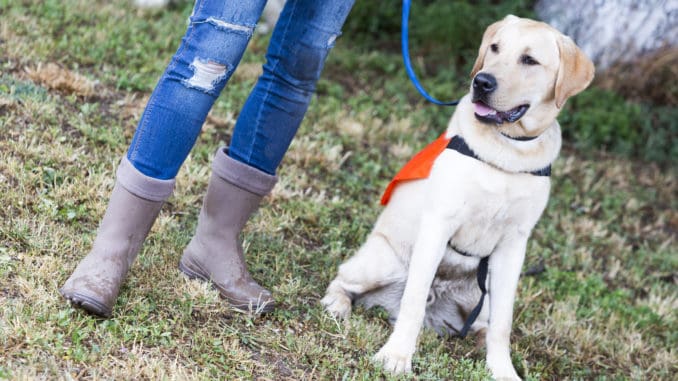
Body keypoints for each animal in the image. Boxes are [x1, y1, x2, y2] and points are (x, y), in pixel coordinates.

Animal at [322, 14, 592, 378]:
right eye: (495, 48)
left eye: (529, 60)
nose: (482, 82)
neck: (506, 152)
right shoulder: (439, 223)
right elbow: (413, 300)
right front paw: (397, 356)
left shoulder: (514, 245)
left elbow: (503, 324)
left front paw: (502, 369)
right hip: (383, 261)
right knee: (345, 279)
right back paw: (337, 305)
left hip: (483, 296)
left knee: (482, 324)